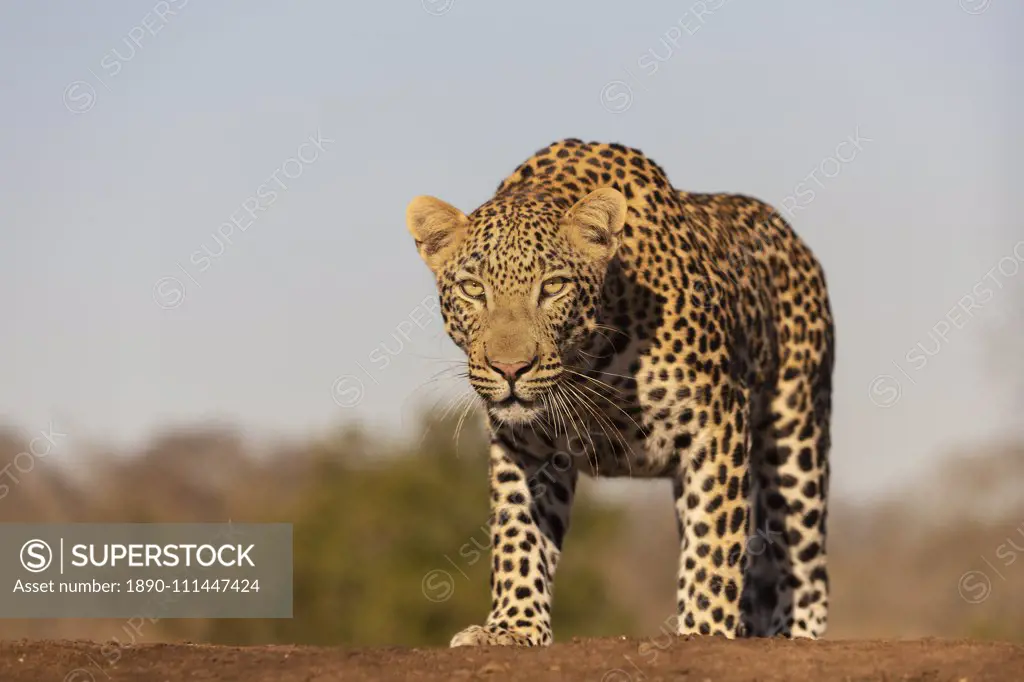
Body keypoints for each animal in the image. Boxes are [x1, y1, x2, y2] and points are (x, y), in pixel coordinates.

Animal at [403, 137, 835, 643]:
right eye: (473, 289)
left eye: (553, 287)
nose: (510, 368)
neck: (588, 364)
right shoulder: (524, 447)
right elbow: (517, 536)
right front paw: (513, 626)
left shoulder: (718, 422)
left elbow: (713, 542)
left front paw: (704, 631)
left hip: (796, 440)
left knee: (804, 565)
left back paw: (793, 633)